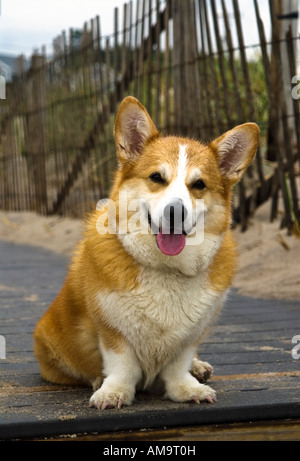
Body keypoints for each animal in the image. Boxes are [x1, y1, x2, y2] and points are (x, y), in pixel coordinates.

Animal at [34, 96, 258, 406]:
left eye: (199, 185)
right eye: (156, 177)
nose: (175, 212)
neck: (166, 267)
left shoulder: (189, 336)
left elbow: (178, 363)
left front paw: (187, 387)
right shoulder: (113, 331)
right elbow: (122, 364)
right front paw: (114, 391)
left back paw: (198, 367)